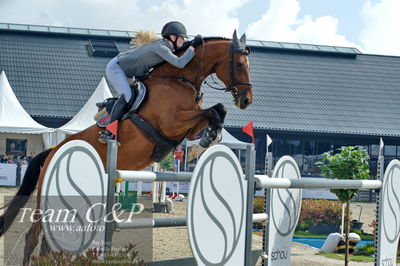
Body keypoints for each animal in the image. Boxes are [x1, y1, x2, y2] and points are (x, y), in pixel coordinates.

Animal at [0, 29, 253, 264]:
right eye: (239, 64)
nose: (246, 100)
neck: (180, 79)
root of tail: (51, 151)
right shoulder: (172, 123)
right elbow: (214, 110)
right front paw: (211, 137)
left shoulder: (187, 128)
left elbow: (217, 111)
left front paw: (210, 138)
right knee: (33, 236)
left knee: (48, 238)